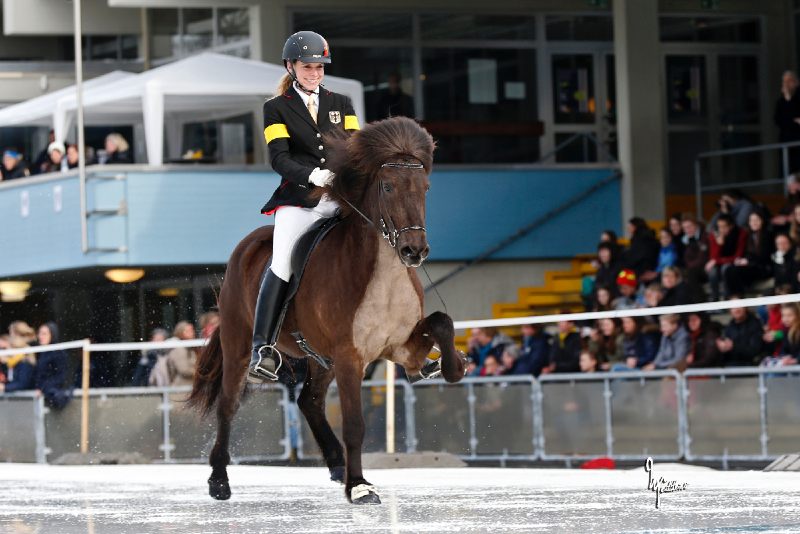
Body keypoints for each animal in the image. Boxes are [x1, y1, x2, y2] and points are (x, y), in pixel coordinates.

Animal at [188, 116, 466, 506]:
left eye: (425, 188)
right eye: (387, 187)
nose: (415, 251)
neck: (382, 272)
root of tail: (248, 245)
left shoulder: (401, 346)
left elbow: (442, 321)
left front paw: (452, 366)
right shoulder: (350, 355)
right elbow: (354, 424)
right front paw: (360, 486)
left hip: (321, 359)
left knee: (310, 401)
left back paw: (336, 465)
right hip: (239, 343)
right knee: (228, 405)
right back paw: (219, 481)